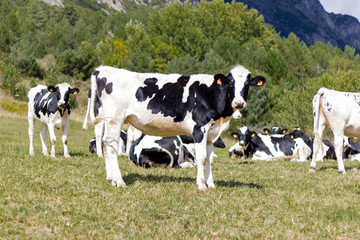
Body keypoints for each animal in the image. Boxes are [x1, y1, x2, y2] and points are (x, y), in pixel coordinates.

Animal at [88, 64, 266, 188]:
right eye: (231, 84)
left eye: (247, 84)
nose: (239, 103)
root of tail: (103, 69)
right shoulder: (199, 128)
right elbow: (201, 158)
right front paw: (201, 184)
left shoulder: (211, 134)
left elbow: (209, 159)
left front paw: (211, 184)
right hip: (114, 118)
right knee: (111, 146)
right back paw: (119, 181)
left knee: (105, 144)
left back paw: (111, 178)